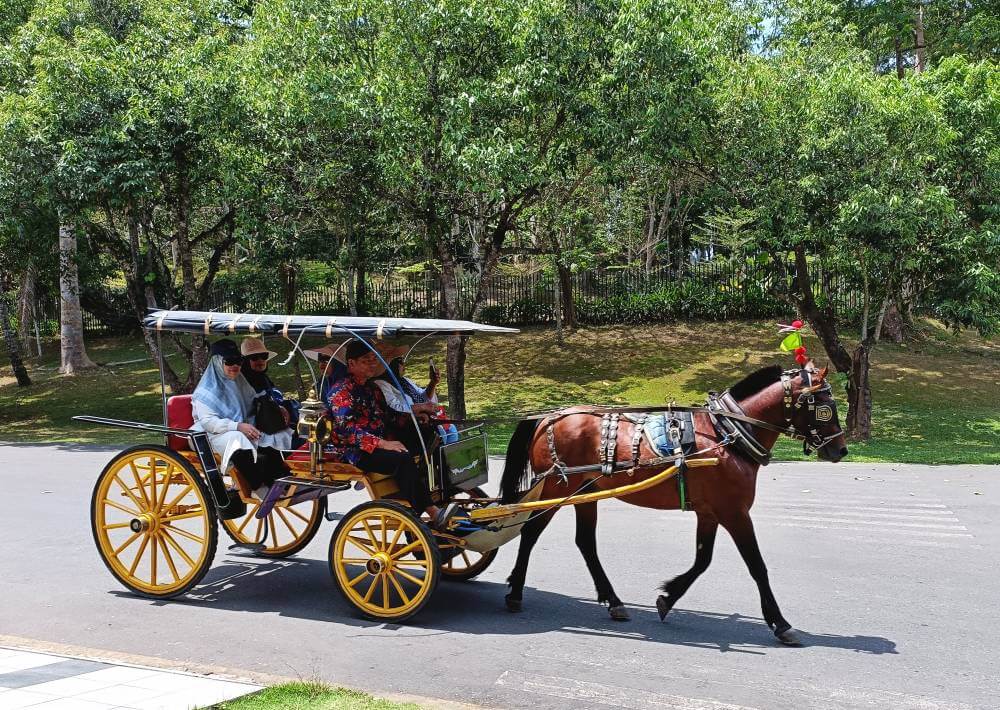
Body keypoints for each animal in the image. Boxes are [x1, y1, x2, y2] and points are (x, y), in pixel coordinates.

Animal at [496, 363, 848, 645]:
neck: (729, 433)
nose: (841, 450)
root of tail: (548, 416)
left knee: (584, 541)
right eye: (825, 406)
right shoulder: (735, 512)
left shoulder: (710, 512)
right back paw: (515, 593)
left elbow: (702, 560)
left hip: (585, 491)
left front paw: (668, 598)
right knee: (531, 532)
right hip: (558, 486)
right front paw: (780, 623)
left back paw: (613, 601)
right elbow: (757, 566)